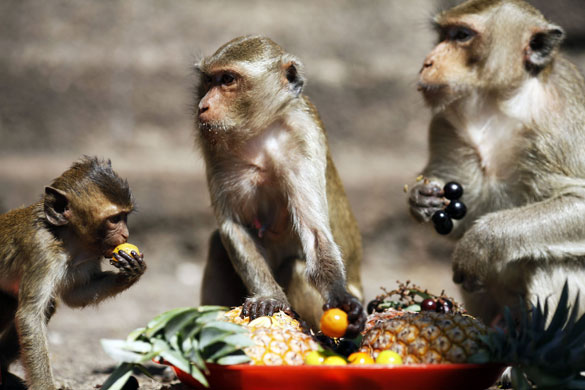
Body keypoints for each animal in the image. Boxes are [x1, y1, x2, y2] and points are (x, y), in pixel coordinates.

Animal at [0, 157, 145, 390]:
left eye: (125, 216)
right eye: (114, 219)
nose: (126, 234)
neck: (64, 240)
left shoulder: (88, 258)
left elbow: (74, 295)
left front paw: (131, 271)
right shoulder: (41, 250)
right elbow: (30, 316)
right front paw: (46, 387)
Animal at [194, 35, 362, 336]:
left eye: (227, 80)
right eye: (209, 80)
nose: (202, 106)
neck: (261, 132)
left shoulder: (306, 135)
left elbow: (315, 234)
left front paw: (341, 299)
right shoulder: (213, 146)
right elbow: (233, 227)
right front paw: (269, 296)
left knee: (297, 266)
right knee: (217, 246)